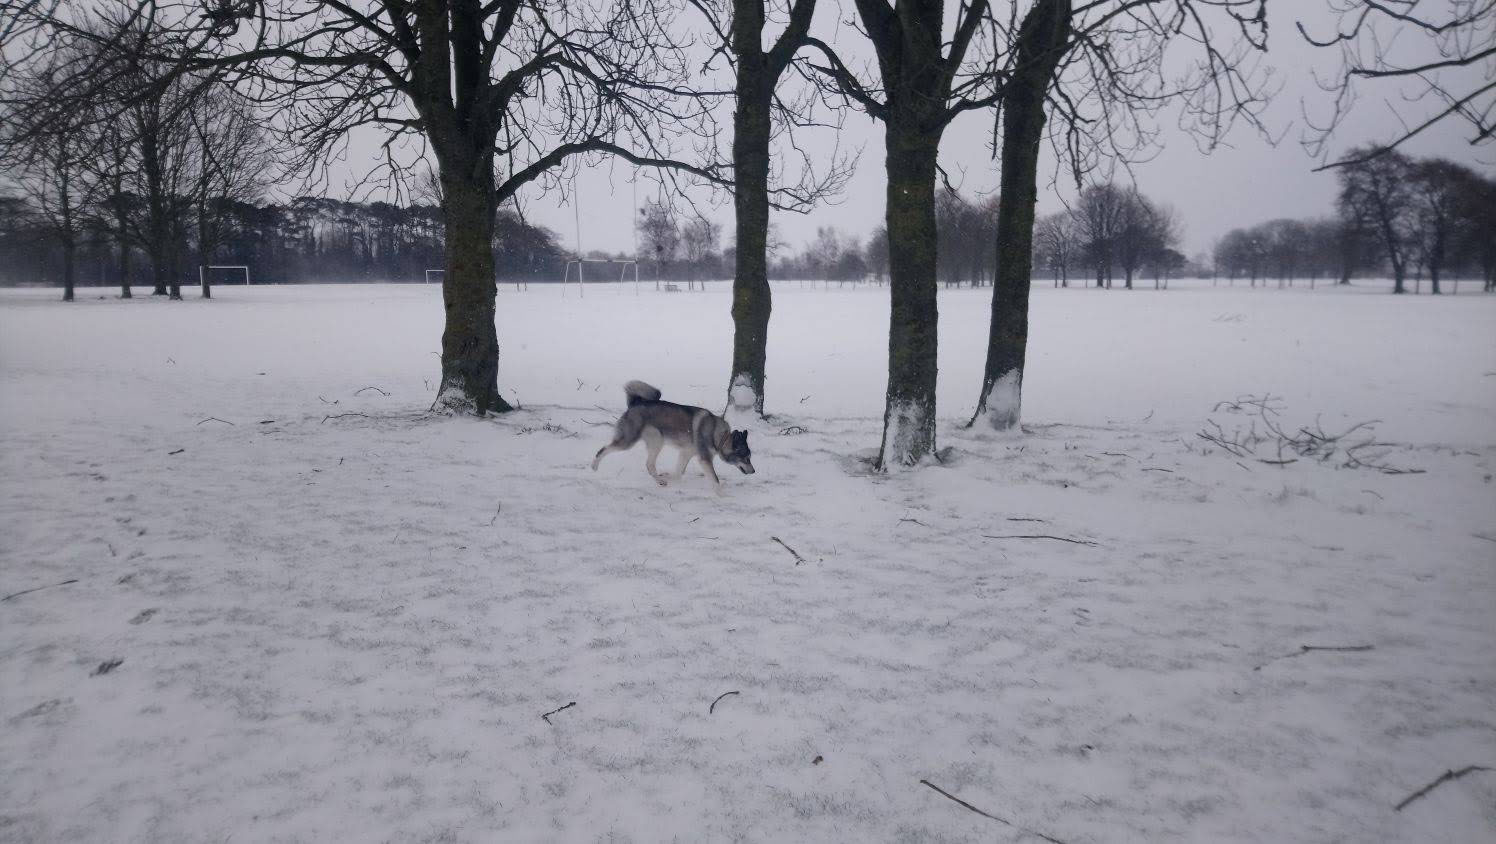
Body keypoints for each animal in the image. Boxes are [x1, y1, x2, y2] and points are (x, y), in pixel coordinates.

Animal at [589, 378, 753, 484]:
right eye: (746, 458)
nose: (754, 471)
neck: (720, 436)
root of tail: (636, 403)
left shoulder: (686, 453)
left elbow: (679, 472)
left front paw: (671, 478)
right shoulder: (704, 459)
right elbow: (715, 480)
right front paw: (723, 495)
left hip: (656, 441)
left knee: (649, 465)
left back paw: (660, 480)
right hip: (633, 441)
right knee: (603, 450)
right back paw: (594, 467)